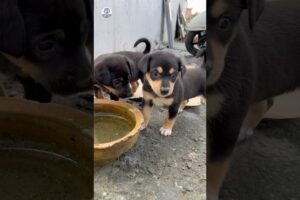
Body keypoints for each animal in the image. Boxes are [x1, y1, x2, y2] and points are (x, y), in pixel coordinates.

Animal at [207, 0, 300, 199]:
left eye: (224, 23)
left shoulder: (228, 117)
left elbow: (215, 165)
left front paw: (209, 193)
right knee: (266, 102)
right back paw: (245, 130)